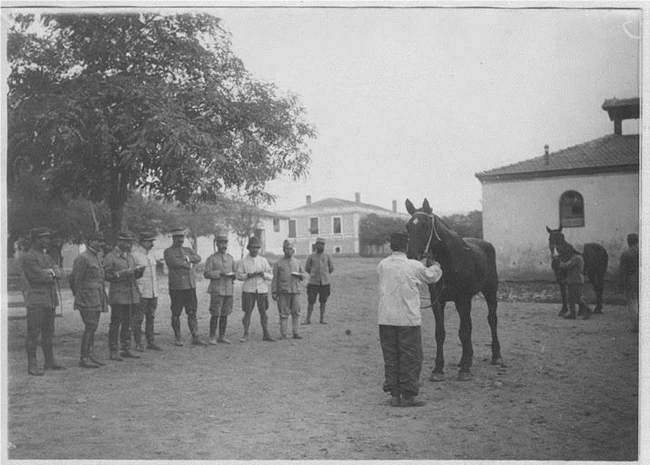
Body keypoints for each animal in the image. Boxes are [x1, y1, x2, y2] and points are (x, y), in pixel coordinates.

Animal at [404, 198, 502, 380]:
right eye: (408, 226)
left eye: (426, 225)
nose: (411, 256)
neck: (450, 260)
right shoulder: (438, 302)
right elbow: (441, 333)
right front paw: (438, 369)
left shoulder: (463, 299)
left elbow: (464, 331)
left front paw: (464, 371)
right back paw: (467, 359)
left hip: (490, 292)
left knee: (492, 320)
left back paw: (496, 356)